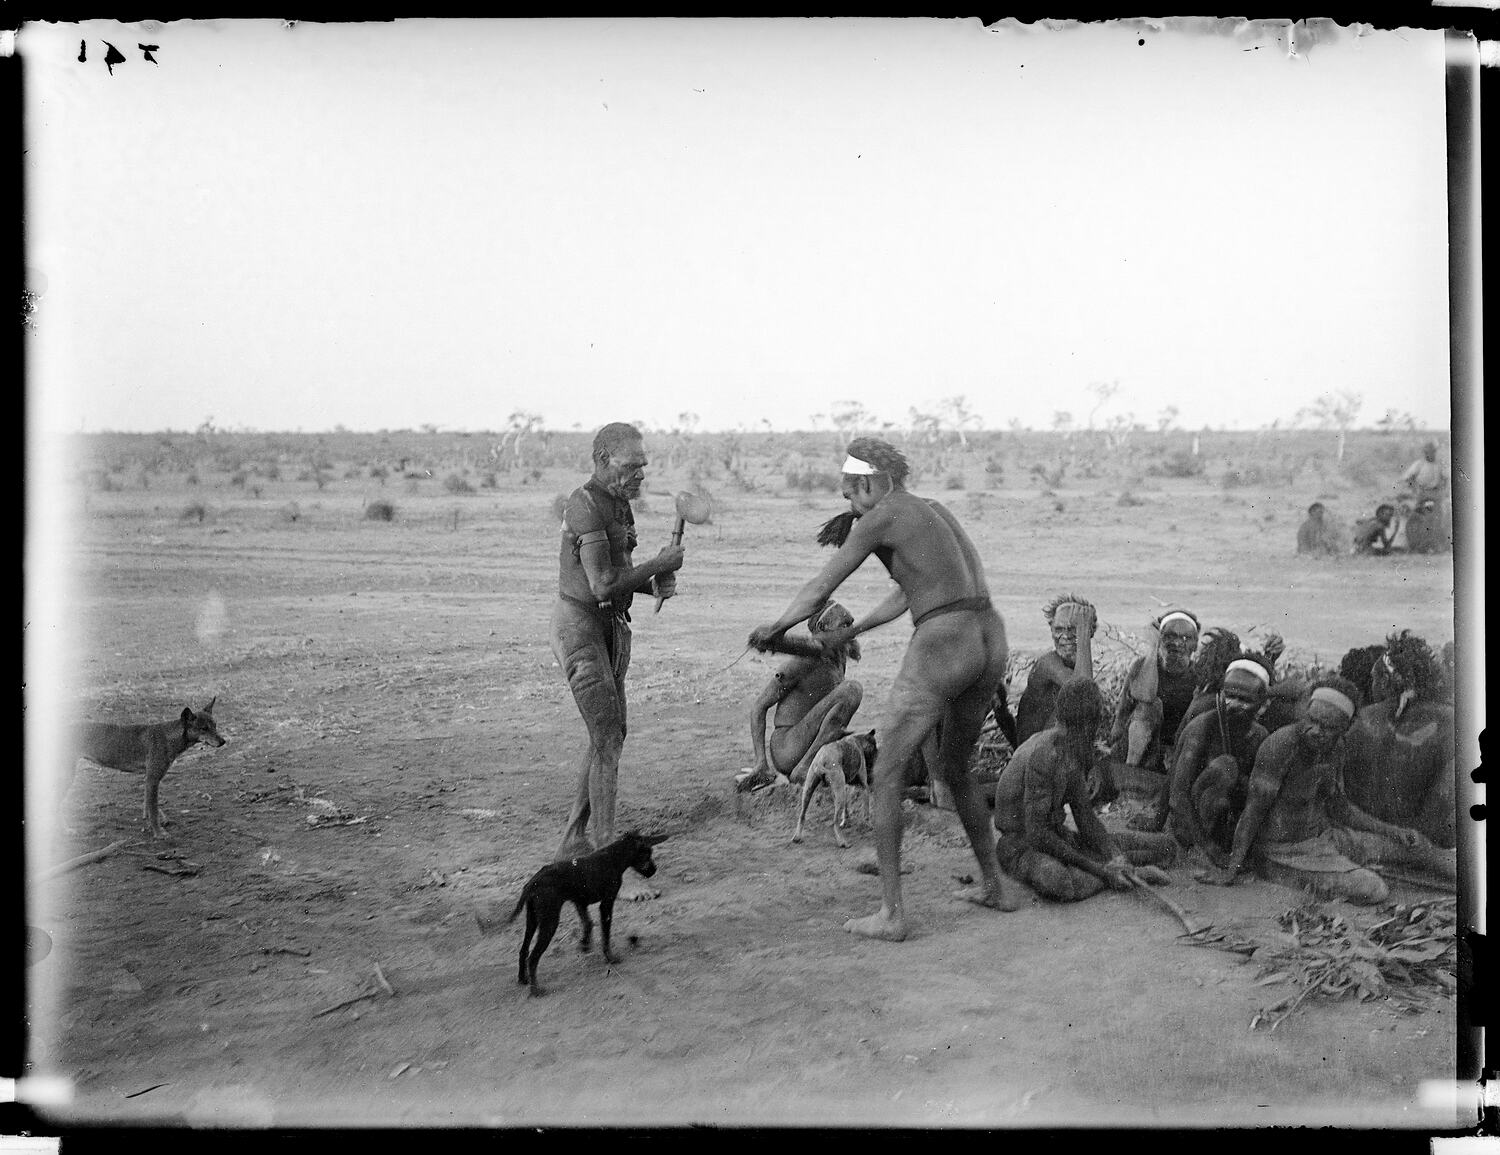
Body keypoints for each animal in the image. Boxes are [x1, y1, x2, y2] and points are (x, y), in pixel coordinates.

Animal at [68, 693, 225, 840]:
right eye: (204, 728)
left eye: (215, 726)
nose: (223, 741)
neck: (168, 737)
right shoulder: (153, 779)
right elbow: (154, 811)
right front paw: (159, 834)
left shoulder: (148, 779)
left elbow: (148, 809)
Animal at [495, 822, 666, 996]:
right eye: (647, 854)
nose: (654, 870)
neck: (613, 857)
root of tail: (532, 883)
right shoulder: (606, 904)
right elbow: (605, 935)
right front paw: (610, 958)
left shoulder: (580, 902)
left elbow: (587, 923)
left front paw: (584, 944)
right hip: (549, 922)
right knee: (533, 957)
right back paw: (536, 990)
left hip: (533, 920)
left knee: (523, 950)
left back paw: (523, 979)